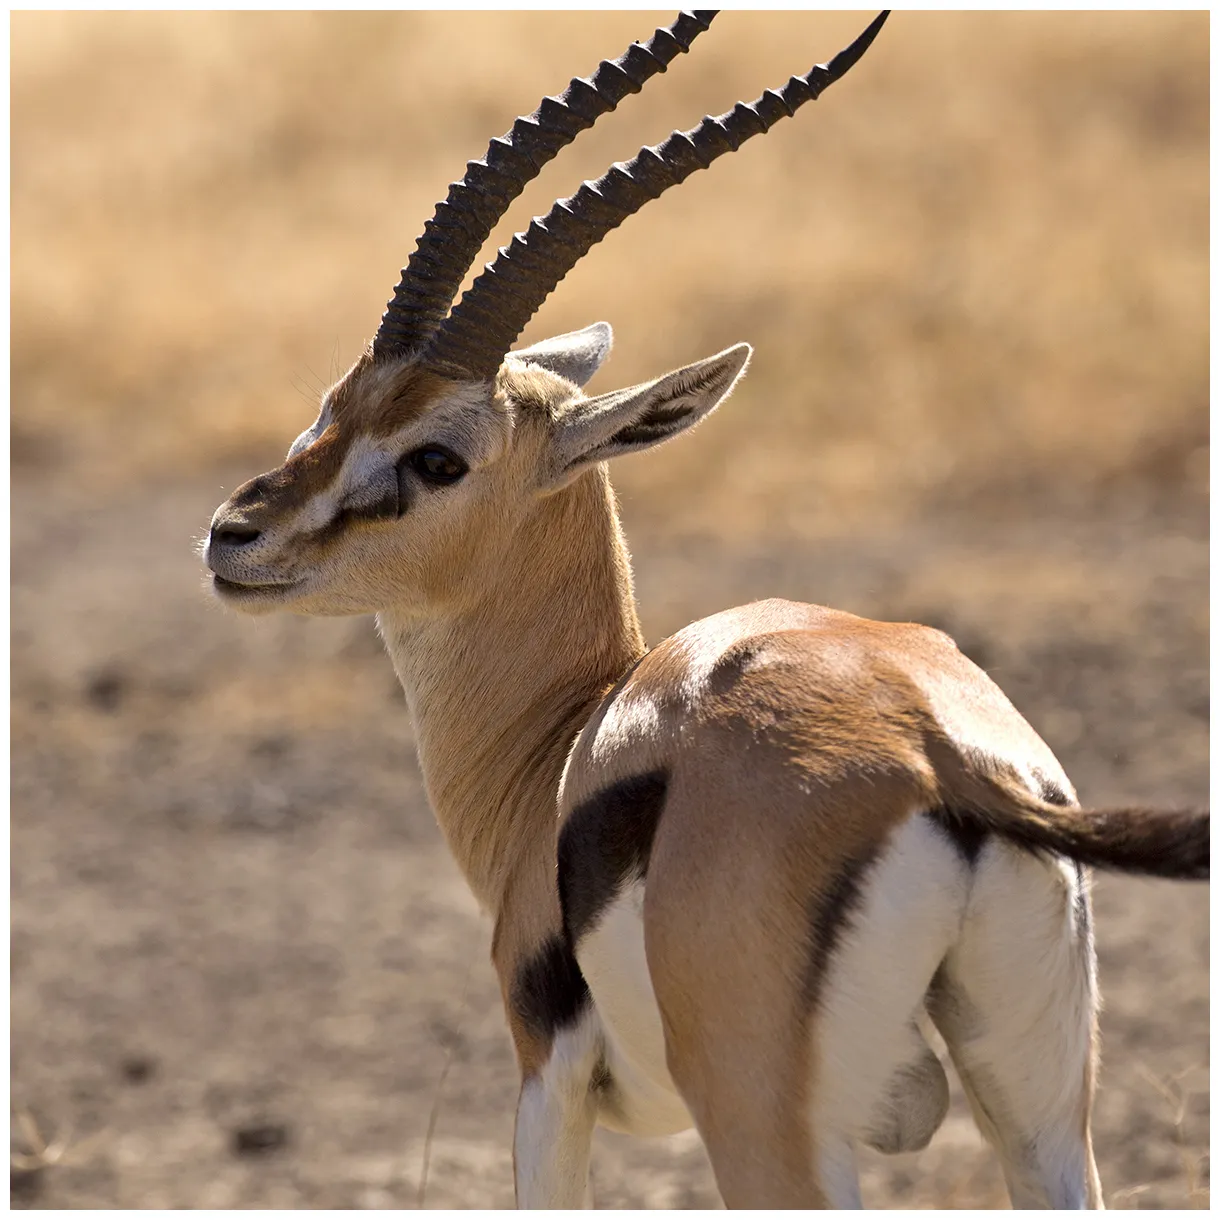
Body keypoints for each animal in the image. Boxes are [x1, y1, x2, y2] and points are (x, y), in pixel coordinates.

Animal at [202, 11, 1209, 1209]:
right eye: (335, 401)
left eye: (435, 456)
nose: (234, 535)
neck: (563, 744)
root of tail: (934, 753)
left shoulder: (545, 1087)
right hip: (1042, 1113)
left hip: (765, 1127)